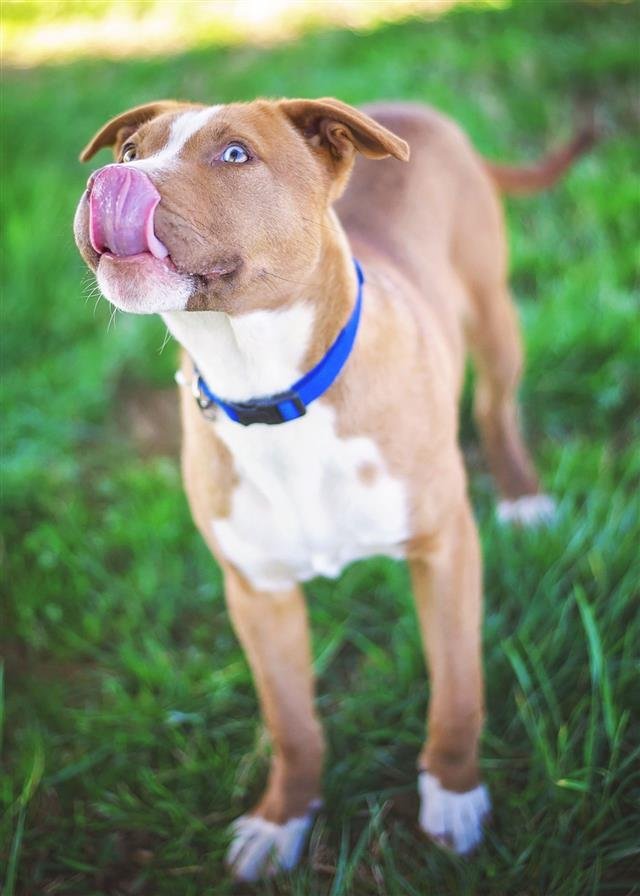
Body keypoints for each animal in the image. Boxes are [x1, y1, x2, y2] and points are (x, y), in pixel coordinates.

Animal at [72, 94, 592, 880]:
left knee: (497, 406)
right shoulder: (257, 593)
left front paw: (453, 792)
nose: (110, 180)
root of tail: (412, 108)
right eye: (132, 150)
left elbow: (457, 688)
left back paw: (523, 496)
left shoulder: (445, 551)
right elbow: (292, 724)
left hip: (494, 314)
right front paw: (282, 818)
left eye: (235, 154)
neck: (268, 391)